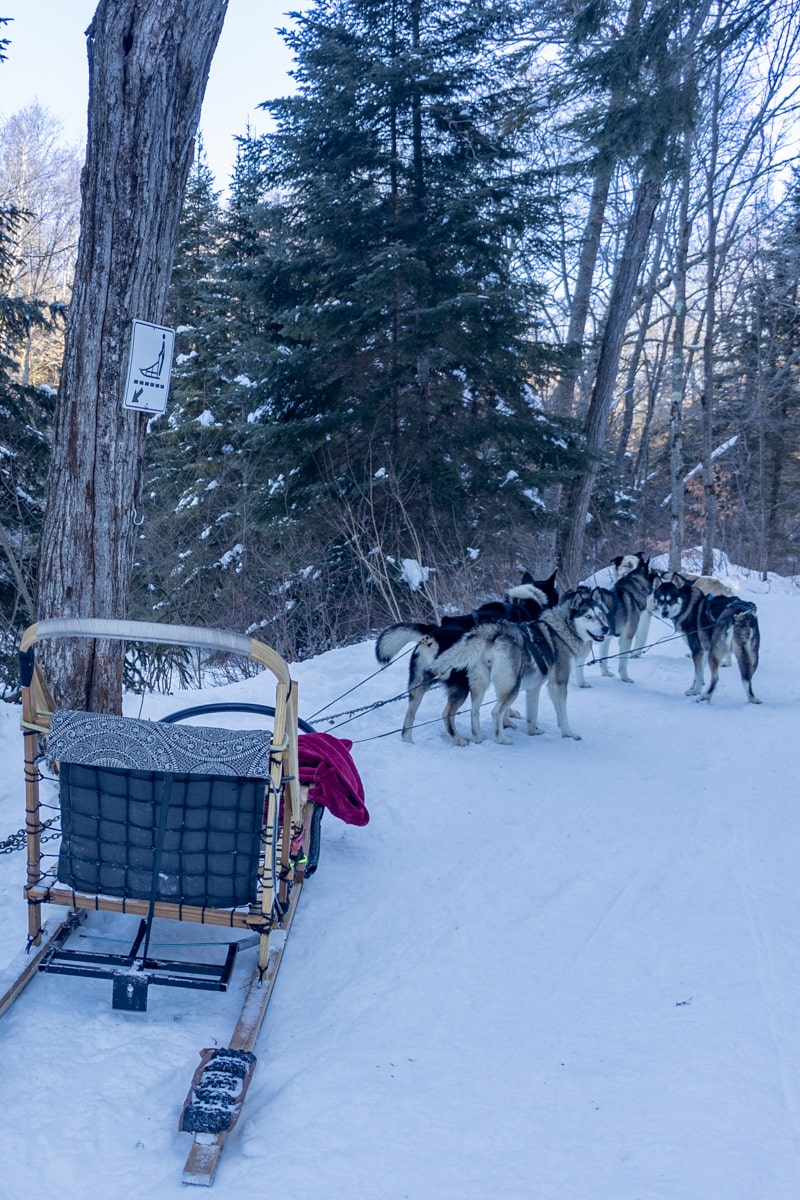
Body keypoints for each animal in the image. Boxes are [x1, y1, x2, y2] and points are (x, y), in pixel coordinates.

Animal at [374, 571, 556, 739]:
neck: (524, 605)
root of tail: (433, 638)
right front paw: (507, 721)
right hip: (461, 686)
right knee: (447, 714)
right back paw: (459, 740)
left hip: (417, 687)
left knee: (409, 718)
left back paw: (409, 741)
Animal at [424, 585, 606, 744]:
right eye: (588, 616)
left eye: (601, 614)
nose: (605, 628)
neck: (561, 629)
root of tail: (493, 631)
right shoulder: (558, 684)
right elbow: (562, 715)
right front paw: (569, 734)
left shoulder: (534, 687)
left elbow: (532, 713)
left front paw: (533, 731)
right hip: (512, 687)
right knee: (495, 712)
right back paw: (501, 739)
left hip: (480, 686)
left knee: (474, 711)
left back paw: (478, 737)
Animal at [575, 552, 657, 686]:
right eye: (654, 574)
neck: (632, 589)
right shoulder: (626, 638)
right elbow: (623, 664)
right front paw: (625, 678)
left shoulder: (606, 638)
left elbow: (603, 659)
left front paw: (605, 674)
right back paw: (581, 683)